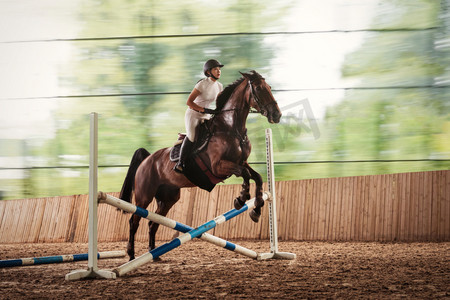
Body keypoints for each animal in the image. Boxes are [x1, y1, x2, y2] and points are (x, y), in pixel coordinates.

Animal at [119, 70, 282, 260]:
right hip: (144, 196)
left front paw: (256, 209)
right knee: (134, 221)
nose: (277, 115)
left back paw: (154, 253)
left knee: (154, 223)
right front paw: (241, 198)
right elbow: (246, 175)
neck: (231, 128)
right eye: (258, 88)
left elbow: (257, 177)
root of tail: (147, 159)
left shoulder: (241, 162)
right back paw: (131, 254)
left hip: (168, 198)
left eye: (268, 87)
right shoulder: (219, 166)